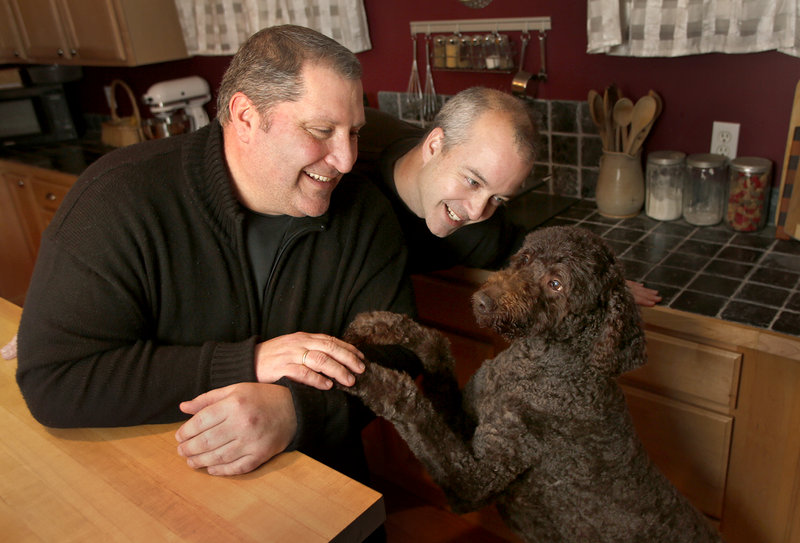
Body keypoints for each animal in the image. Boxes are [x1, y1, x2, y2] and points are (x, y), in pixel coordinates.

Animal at [340, 226, 720, 543]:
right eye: (523, 258)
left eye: (556, 284)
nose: (483, 300)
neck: (538, 367)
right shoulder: (465, 424)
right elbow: (437, 345)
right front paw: (381, 325)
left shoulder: (473, 482)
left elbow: (411, 405)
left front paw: (360, 373)